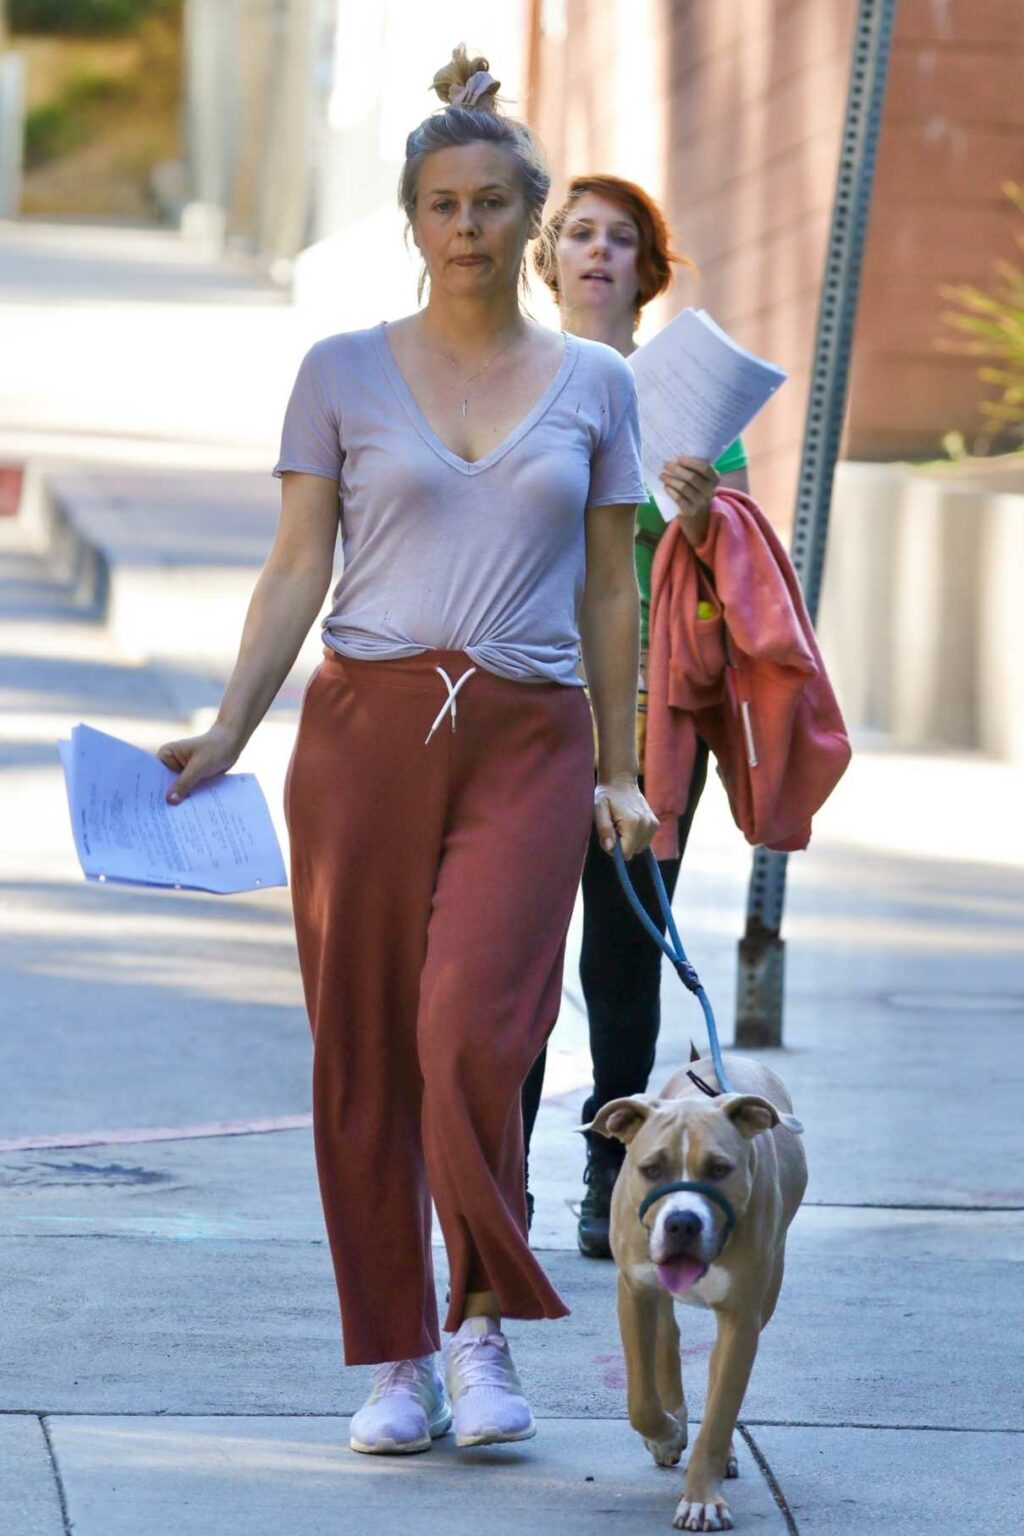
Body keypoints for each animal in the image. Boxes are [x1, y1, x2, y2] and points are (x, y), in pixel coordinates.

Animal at [583, 1050, 810, 1529]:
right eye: (650, 1169)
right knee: (668, 1336)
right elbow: (640, 1396)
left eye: (720, 1169)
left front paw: (703, 1498)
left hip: (765, 1295)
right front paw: (667, 1434)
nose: (683, 1223)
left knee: (713, 1371)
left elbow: (722, 1407)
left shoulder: (743, 1317)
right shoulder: (635, 1292)